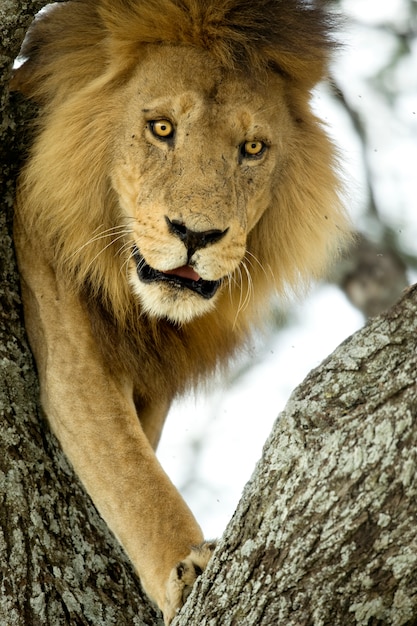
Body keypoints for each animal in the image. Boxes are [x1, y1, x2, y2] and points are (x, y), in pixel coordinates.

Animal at [12, 2, 348, 620]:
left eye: (253, 148)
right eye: (162, 128)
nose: (196, 235)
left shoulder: (158, 375)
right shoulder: (70, 346)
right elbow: (134, 477)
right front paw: (185, 571)